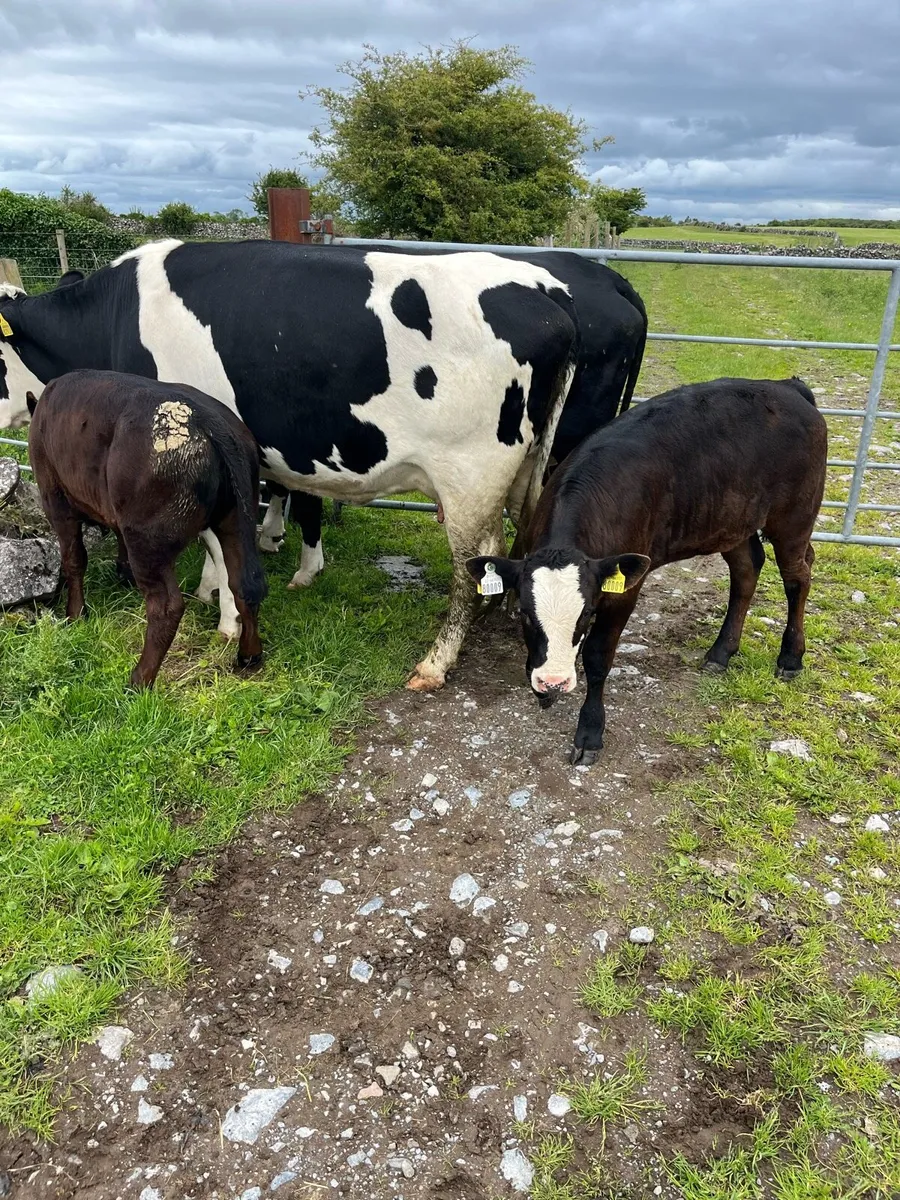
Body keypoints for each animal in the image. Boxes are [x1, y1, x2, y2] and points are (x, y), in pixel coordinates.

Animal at [27, 370, 267, 688]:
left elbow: (74, 559)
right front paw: (122, 573)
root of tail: (214, 424)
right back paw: (249, 656)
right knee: (245, 584)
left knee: (166, 607)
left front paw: (75, 615)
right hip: (237, 518)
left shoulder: (55, 498)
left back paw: (139, 679)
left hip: (148, 539)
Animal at [466, 377, 828, 764]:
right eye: (523, 612)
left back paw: (790, 656)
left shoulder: (623, 592)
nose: (554, 681)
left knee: (797, 577)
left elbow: (597, 657)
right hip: (732, 520)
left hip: (794, 519)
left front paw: (589, 732)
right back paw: (721, 652)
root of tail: (786, 386)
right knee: (746, 571)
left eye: (587, 613)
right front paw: (543, 688)